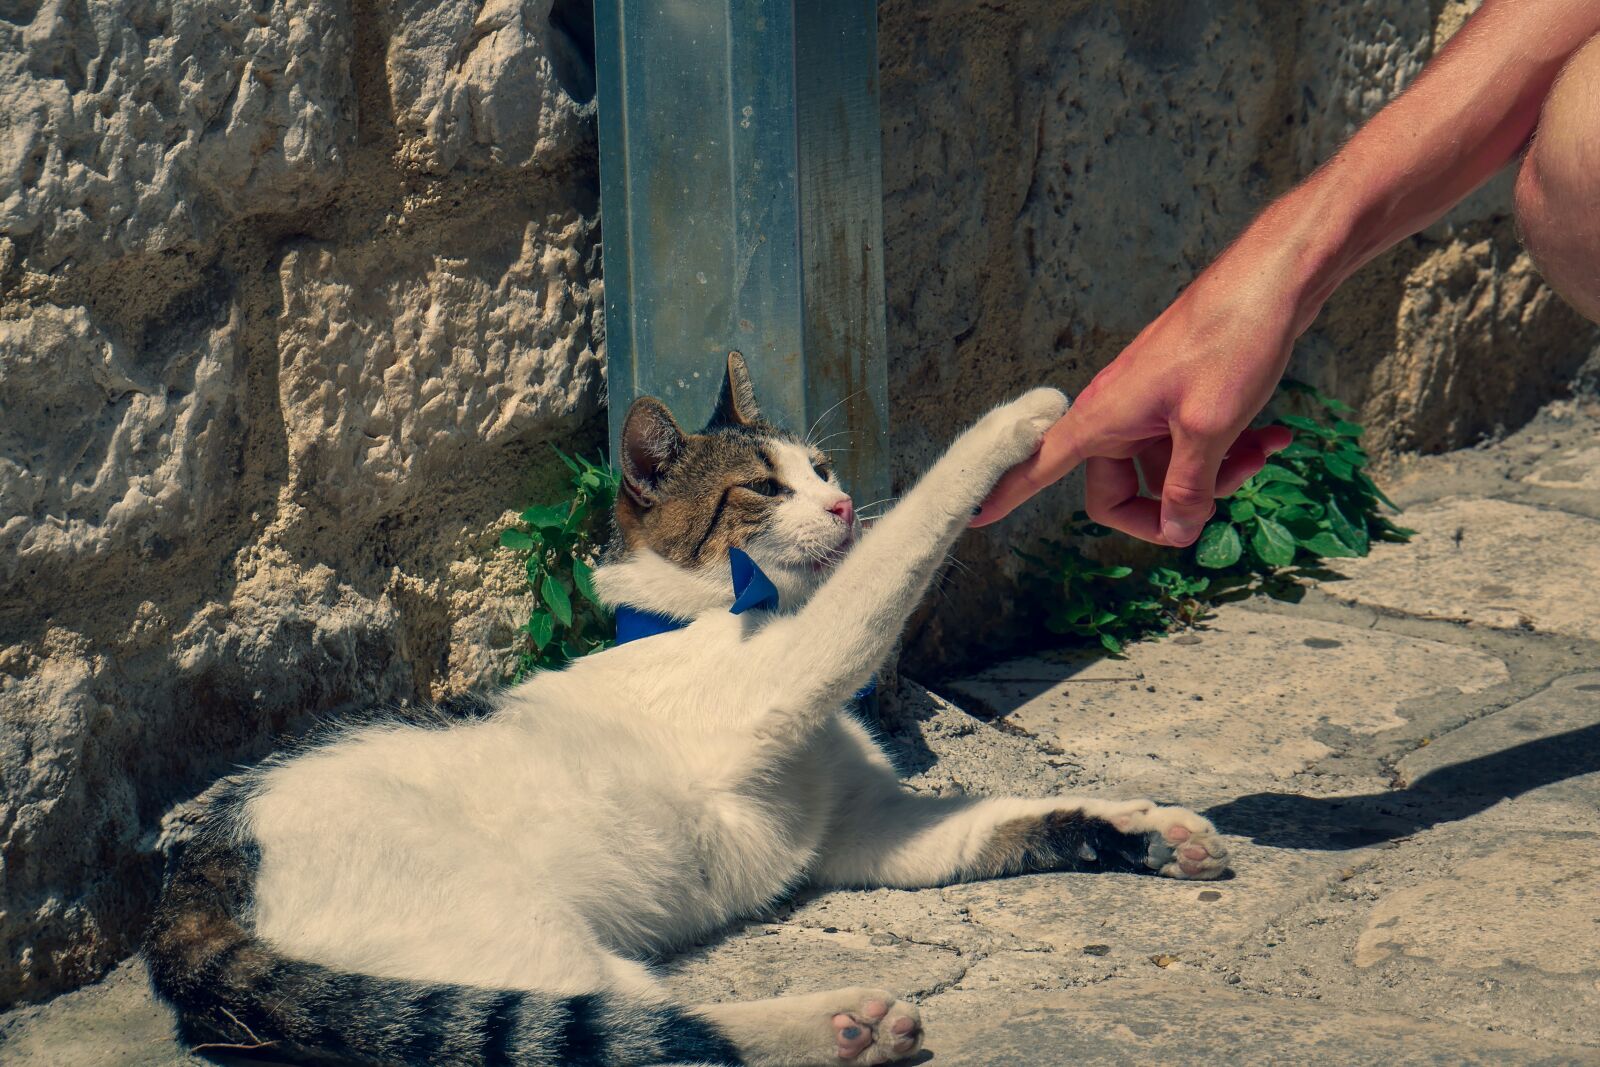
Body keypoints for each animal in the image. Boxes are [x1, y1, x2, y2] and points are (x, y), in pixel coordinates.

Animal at [147, 356, 1222, 1067]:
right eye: (762, 488)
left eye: (824, 469)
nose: (841, 508)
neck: (718, 611)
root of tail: (194, 867)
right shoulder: (803, 661)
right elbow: (909, 539)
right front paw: (1024, 418)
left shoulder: (871, 828)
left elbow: (1000, 818)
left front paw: (1143, 825)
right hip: (511, 930)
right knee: (637, 1034)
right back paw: (841, 1024)